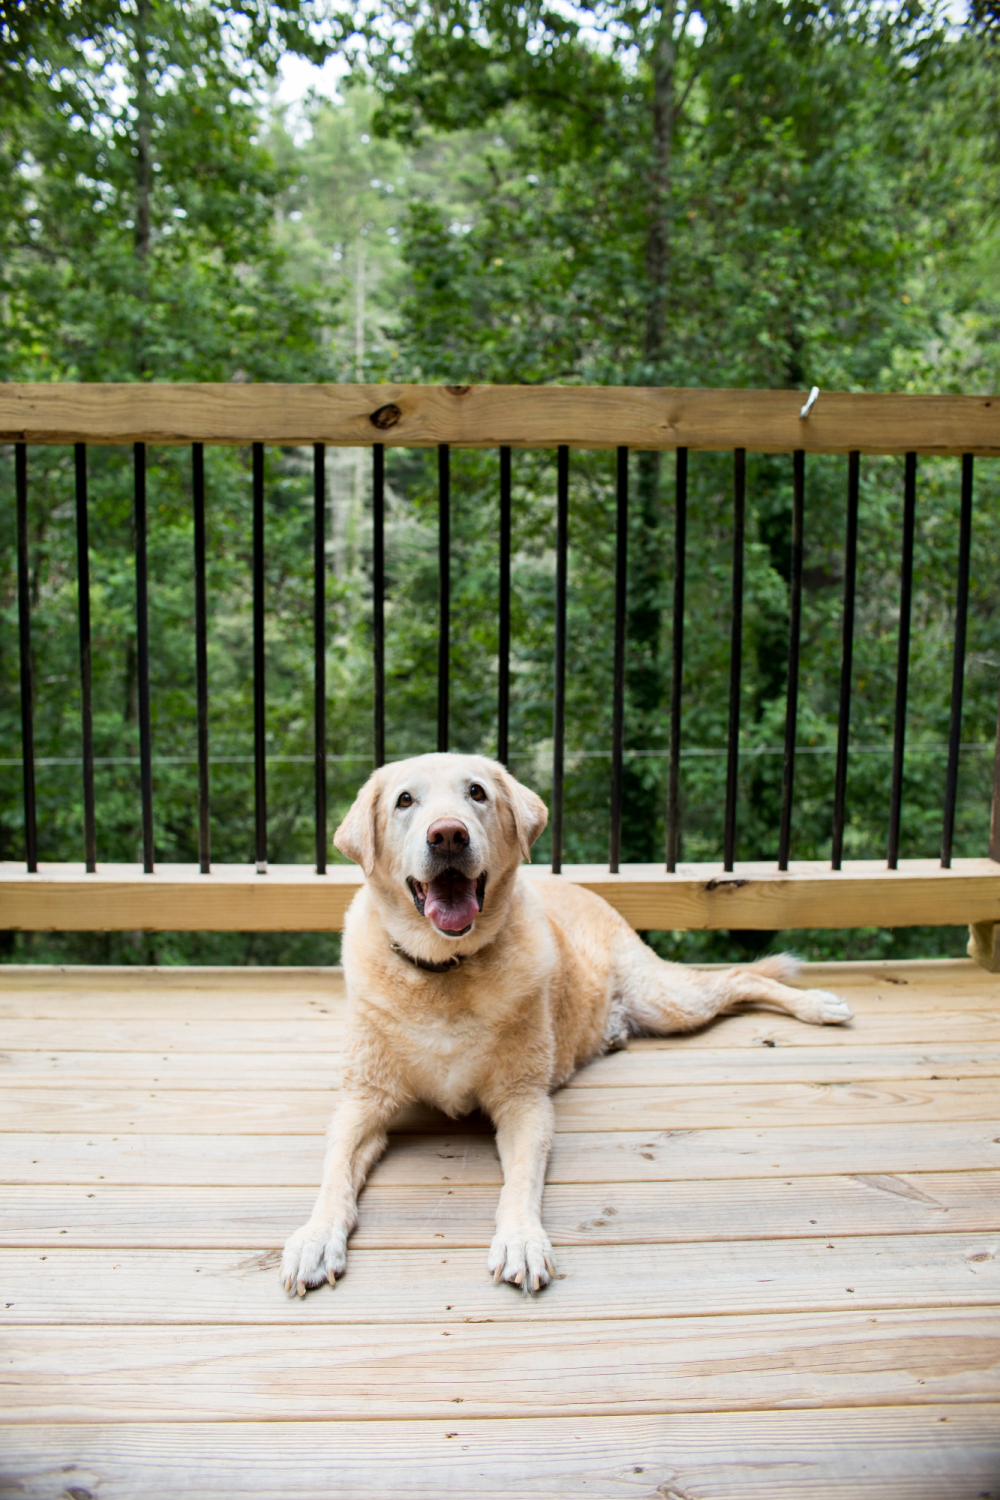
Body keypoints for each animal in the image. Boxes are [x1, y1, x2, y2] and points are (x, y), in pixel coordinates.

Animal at [280, 756, 851, 1296]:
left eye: (477, 793)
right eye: (404, 800)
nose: (448, 835)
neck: (445, 972)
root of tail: (583, 887)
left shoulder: (525, 1102)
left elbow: (520, 1182)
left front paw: (520, 1241)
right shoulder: (362, 1103)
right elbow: (334, 1175)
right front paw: (315, 1238)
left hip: (669, 1002)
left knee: (741, 978)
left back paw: (818, 1004)